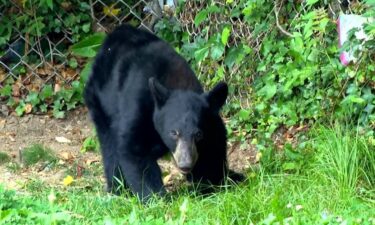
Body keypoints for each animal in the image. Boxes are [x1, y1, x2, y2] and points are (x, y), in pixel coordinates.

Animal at [84, 24, 244, 200]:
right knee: (109, 146)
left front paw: (216, 182)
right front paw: (156, 197)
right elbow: (134, 149)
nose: (185, 164)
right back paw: (118, 189)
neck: (176, 83)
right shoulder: (138, 106)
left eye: (198, 134)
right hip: (99, 103)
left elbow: (213, 149)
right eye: (174, 132)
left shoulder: (211, 124)